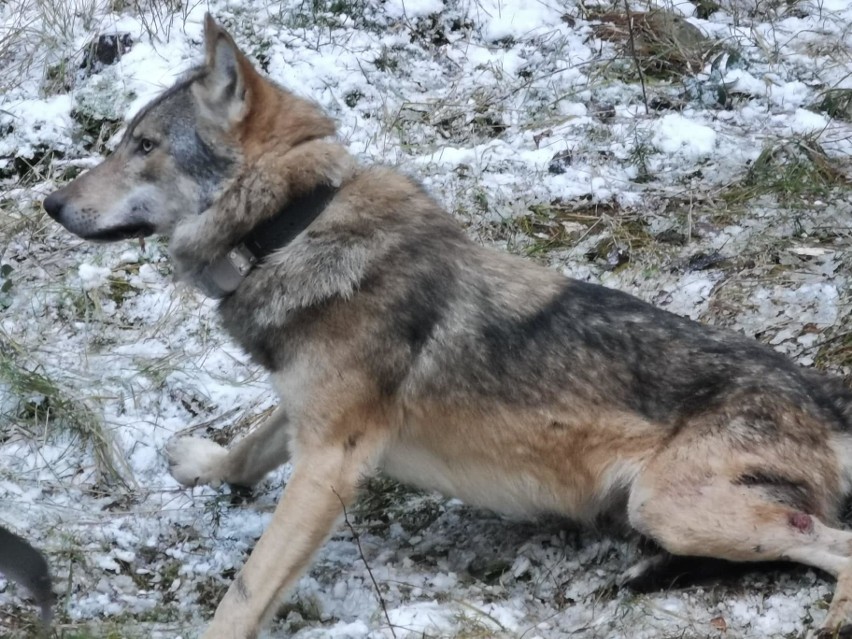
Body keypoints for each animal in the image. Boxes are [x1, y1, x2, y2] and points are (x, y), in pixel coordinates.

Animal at [43, 11, 852, 639]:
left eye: (143, 146)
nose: (49, 203)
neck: (292, 228)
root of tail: (816, 392)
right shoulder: (313, 419)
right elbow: (248, 447)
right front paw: (201, 465)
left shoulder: (331, 462)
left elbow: (245, 590)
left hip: (670, 503)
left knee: (838, 545)